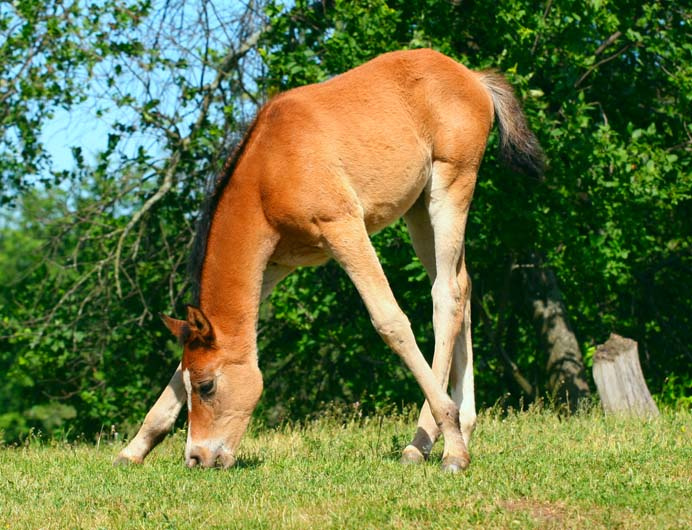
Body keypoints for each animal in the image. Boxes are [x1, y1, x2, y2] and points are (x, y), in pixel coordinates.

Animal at [115, 48, 544, 473]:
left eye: (207, 386)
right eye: (192, 386)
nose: (198, 458)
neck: (270, 172)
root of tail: (471, 76)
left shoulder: (344, 229)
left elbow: (390, 322)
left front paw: (453, 448)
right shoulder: (272, 266)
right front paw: (134, 449)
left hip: (451, 186)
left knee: (447, 295)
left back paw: (429, 441)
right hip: (419, 210)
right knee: (463, 288)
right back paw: (464, 427)